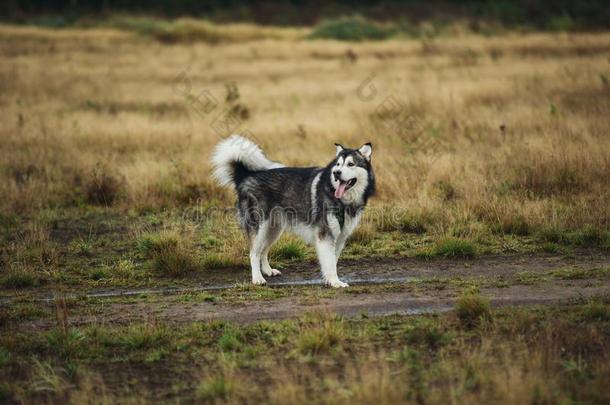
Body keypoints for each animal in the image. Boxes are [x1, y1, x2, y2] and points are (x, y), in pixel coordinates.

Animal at [211, 136, 372, 288]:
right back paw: (257, 278)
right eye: (338, 164)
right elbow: (330, 263)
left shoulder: (340, 237)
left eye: (351, 164)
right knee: (254, 253)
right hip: (259, 227)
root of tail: (245, 176)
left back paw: (268, 271)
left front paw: (330, 280)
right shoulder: (325, 235)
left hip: (273, 229)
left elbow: (332, 261)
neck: (341, 200)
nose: (336, 173)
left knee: (263, 250)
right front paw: (336, 282)